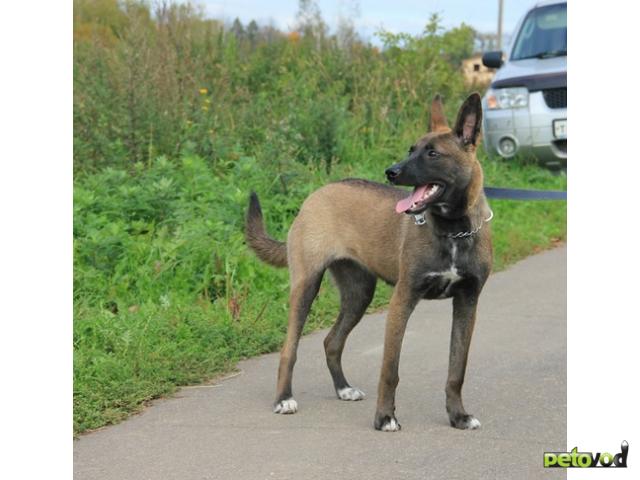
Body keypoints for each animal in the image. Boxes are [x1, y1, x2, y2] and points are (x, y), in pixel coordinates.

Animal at [244, 94, 490, 432]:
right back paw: (284, 399)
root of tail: (315, 195)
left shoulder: (467, 304)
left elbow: (457, 369)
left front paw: (458, 416)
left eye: (432, 153)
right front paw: (385, 417)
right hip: (307, 286)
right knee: (289, 349)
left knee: (332, 342)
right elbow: (390, 370)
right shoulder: (402, 301)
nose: (391, 171)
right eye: (410, 149)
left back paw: (343, 389)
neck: (453, 231)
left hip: (358, 294)